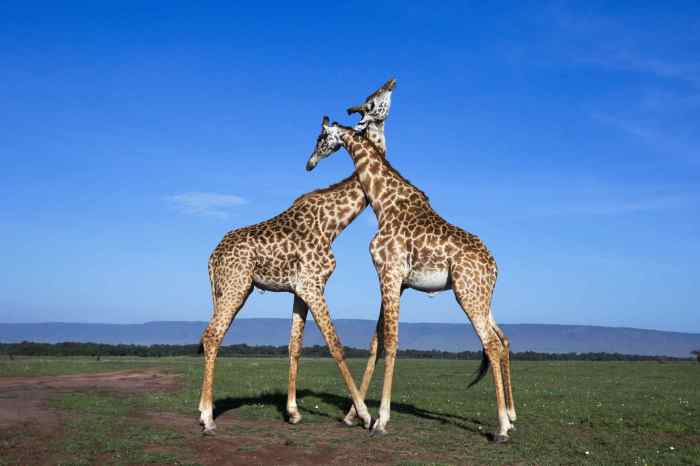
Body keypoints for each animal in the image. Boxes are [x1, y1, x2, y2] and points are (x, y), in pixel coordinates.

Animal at [198, 79, 395, 433]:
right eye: (373, 100)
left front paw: (292, 412)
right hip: (236, 285)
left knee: (210, 334)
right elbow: (336, 344)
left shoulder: (299, 289)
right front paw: (364, 414)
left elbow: (295, 347)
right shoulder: (314, 284)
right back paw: (207, 417)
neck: (334, 224)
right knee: (212, 335)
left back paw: (202, 410)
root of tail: (212, 257)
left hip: (227, 289)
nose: (310, 163)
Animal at [305, 120, 517, 442]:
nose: (310, 163)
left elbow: (391, 342)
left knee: (492, 343)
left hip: (467, 294)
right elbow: (376, 343)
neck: (384, 203)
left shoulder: (388, 273)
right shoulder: (398, 282)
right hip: (482, 297)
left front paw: (381, 420)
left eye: (320, 138)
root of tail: (494, 267)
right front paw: (354, 416)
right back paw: (511, 419)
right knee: (503, 339)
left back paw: (503, 427)